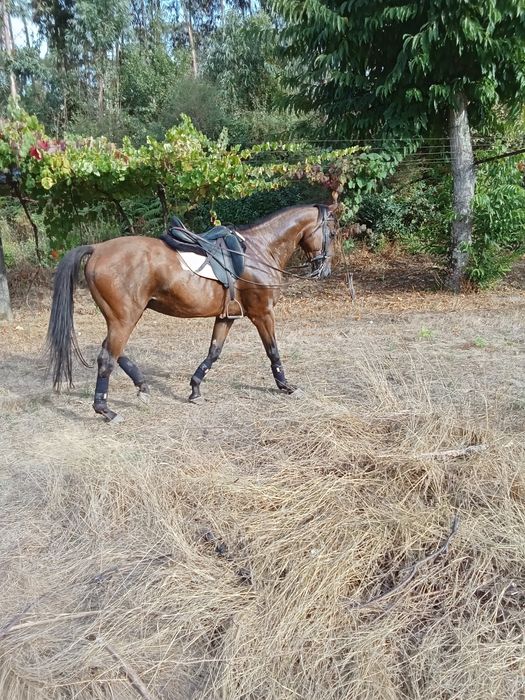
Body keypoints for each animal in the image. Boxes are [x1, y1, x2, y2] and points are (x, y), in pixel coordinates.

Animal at [46, 203, 336, 422]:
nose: (324, 271)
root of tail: (97, 248)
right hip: (124, 319)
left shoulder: (226, 316)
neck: (259, 250)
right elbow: (273, 350)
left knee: (114, 351)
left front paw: (195, 388)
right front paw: (286, 386)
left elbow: (214, 352)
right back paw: (105, 410)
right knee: (107, 357)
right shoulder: (262, 313)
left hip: (122, 318)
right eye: (332, 233)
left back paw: (142, 386)